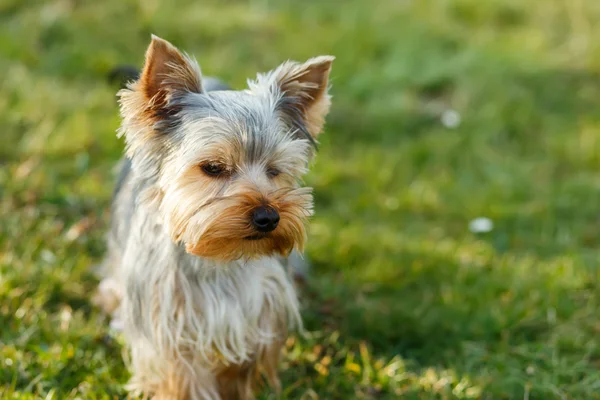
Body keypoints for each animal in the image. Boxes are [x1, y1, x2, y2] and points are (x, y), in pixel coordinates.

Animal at [96, 35, 336, 400]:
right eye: (213, 167)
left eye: (275, 170)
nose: (268, 217)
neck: (219, 256)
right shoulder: (166, 312)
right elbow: (181, 372)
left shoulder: (262, 304)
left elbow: (241, 363)